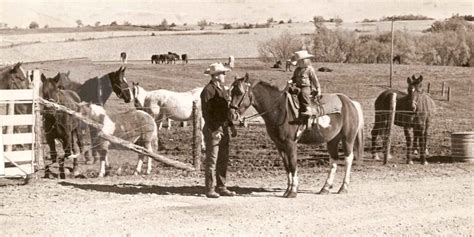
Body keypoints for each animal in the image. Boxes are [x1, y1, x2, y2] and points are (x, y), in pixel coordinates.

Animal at [229, 73, 362, 197]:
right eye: (231, 91)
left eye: (240, 92)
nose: (231, 114)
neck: (280, 109)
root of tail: (350, 102)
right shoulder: (279, 145)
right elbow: (287, 166)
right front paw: (287, 190)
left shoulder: (290, 143)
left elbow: (293, 165)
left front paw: (293, 191)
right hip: (333, 140)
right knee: (333, 160)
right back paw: (325, 188)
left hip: (347, 138)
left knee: (348, 159)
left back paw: (343, 188)